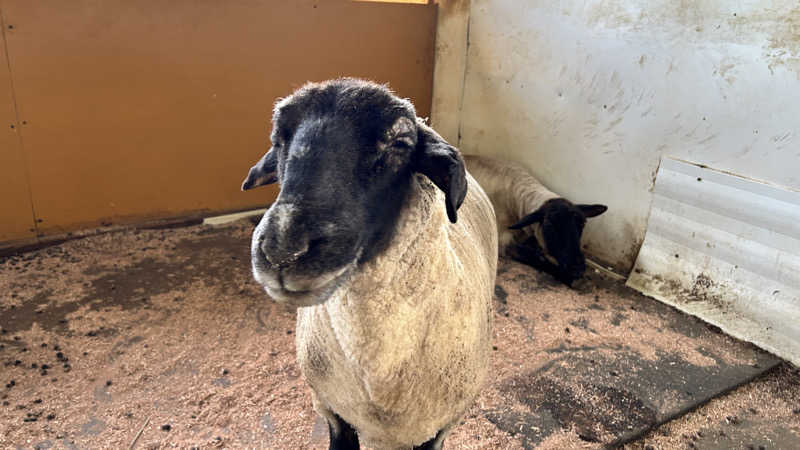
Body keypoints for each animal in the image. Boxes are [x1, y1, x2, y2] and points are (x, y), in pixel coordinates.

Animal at [241, 79, 496, 450]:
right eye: (278, 138)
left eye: (400, 144)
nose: (282, 251)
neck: (378, 374)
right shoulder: (333, 410)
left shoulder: (441, 426)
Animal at [462, 155, 608, 286]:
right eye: (549, 225)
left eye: (582, 223)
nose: (577, 267)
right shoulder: (503, 240)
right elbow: (533, 257)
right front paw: (568, 277)